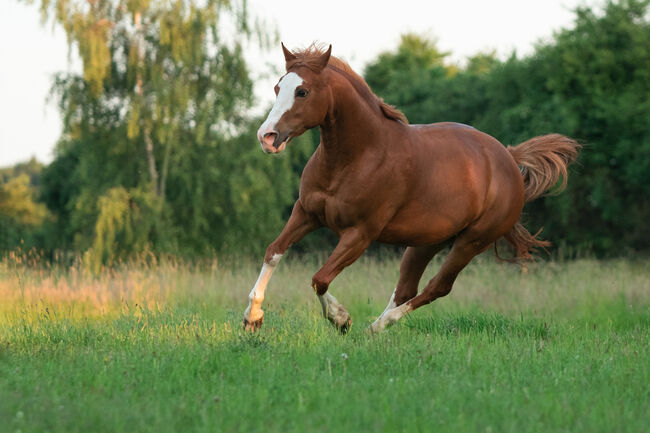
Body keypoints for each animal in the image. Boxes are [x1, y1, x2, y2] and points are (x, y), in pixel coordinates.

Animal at [242, 44, 576, 332]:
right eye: (278, 87)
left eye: (302, 91)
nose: (266, 137)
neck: (357, 156)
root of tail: (509, 158)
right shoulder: (306, 213)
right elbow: (273, 252)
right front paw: (253, 317)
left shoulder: (360, 234)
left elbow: (319, 278)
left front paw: (340, 319)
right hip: (425, 242)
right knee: (407, 288)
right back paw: (375, 326)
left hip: (471, 242)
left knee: (436, 288)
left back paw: (377, 326)